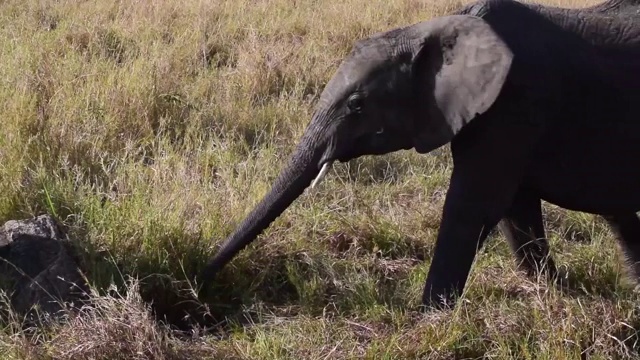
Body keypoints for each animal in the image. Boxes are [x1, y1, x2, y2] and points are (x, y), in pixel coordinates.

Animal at [200, 0, 640, 310]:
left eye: (357, 105)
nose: (200, 285)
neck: (438, 28)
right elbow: (516, 209)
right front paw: (552, 293)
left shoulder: (514, 103)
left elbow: (475, 205)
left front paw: (428, 316)